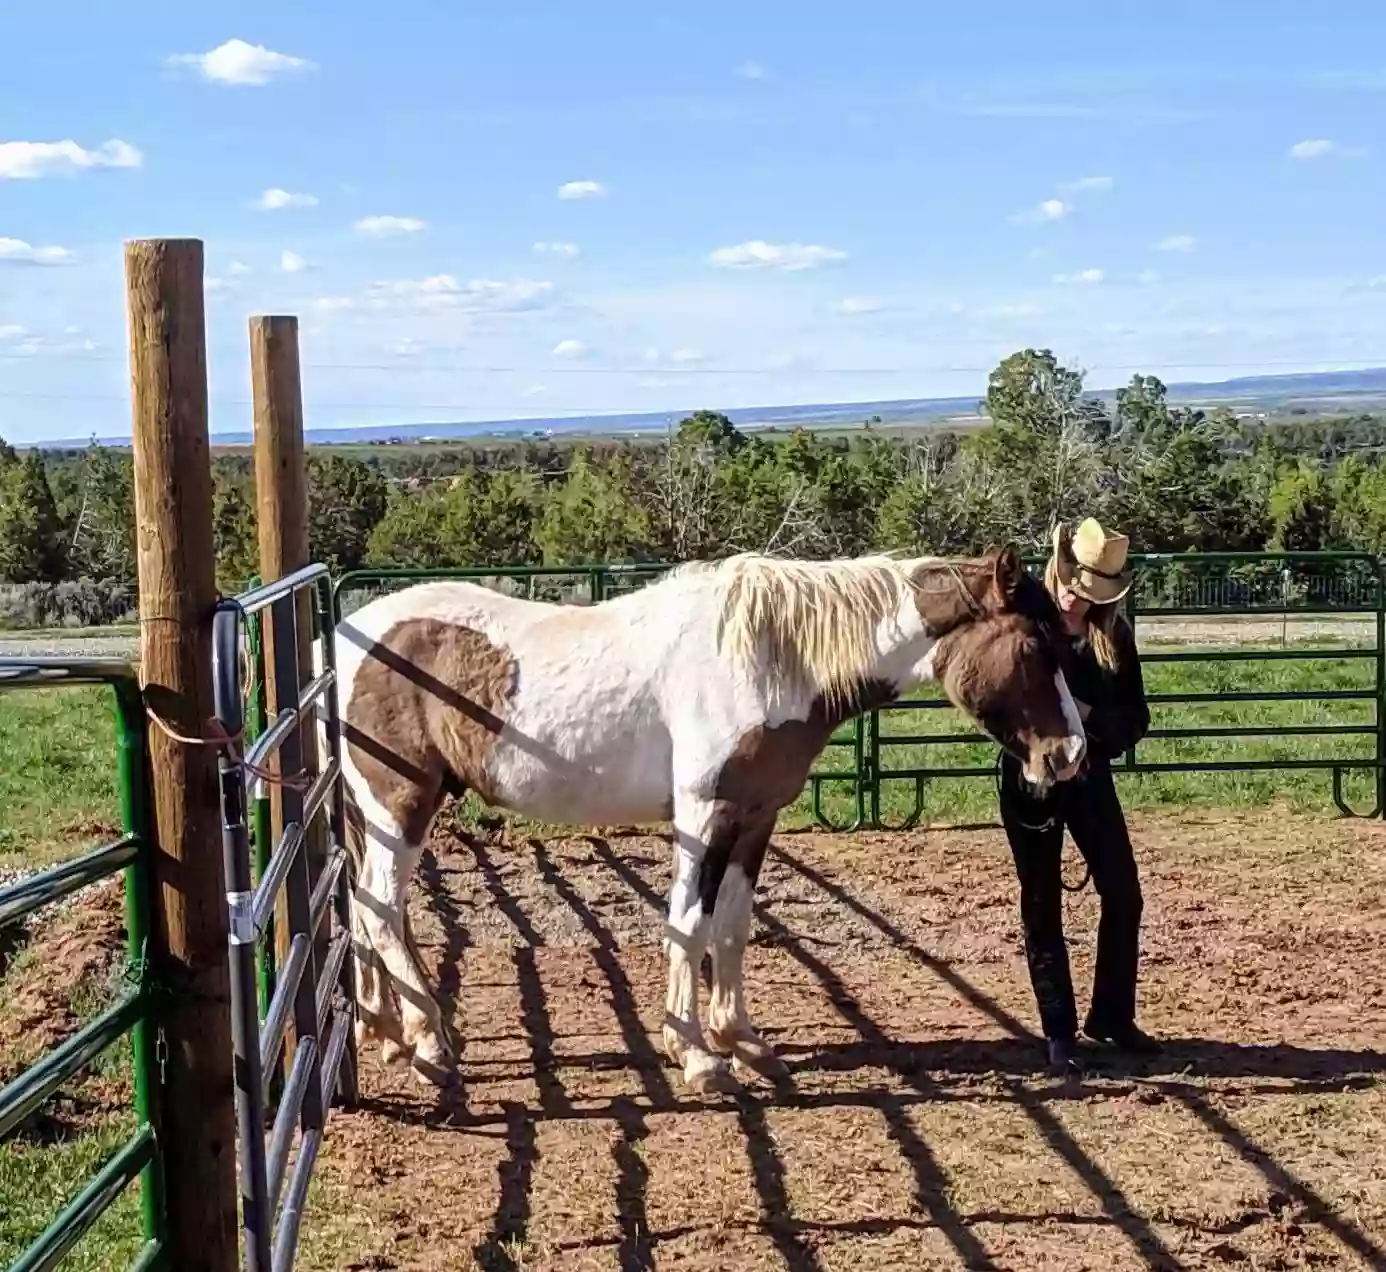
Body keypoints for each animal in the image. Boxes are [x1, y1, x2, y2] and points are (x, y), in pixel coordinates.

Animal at [324, 545, 1081, 1097]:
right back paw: (430, 1042)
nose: (1069, 755)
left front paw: (742, 1041)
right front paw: (696, 1054)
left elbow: (733, 928)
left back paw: (383, 1032)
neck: (772, 659)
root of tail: (342, 638)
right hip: (400, 806)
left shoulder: (754, 819)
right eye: (1035, 647)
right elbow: (687, 924)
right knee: (381, 907)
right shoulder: (703, 812)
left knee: (363, 909)